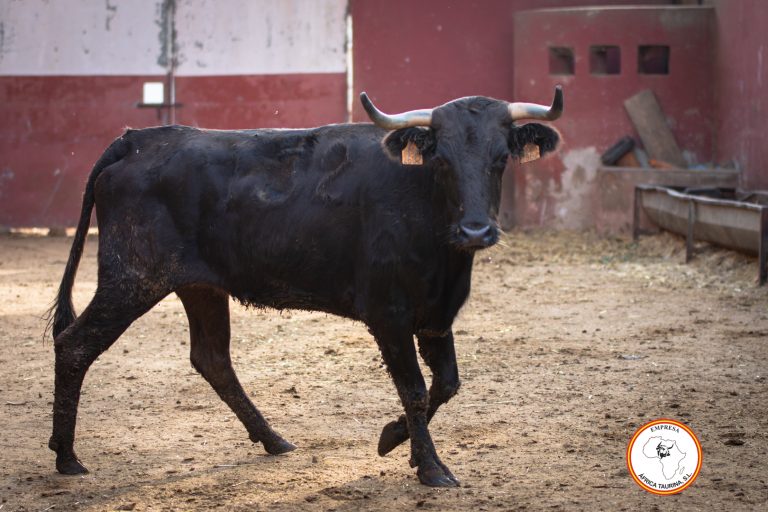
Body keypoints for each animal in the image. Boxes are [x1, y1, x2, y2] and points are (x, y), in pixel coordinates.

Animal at [47, 87, 562, 487]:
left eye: (501, 159)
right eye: (442, 160)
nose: (476, 231)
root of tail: (136, 140)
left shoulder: (435, 315)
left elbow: (447, 383)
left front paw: (397, 441)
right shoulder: (389, 316)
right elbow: (415, 389)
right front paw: (432, 468)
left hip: (199, 286)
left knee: (212, 358)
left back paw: (274, 440)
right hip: (130, 279)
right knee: (75, 345)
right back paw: (67, 457)